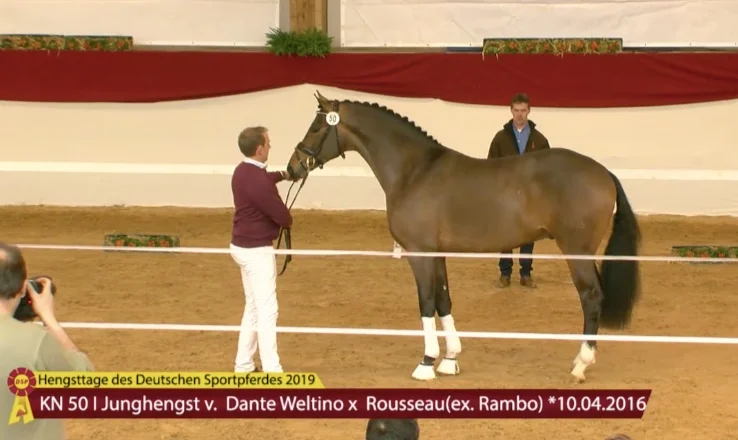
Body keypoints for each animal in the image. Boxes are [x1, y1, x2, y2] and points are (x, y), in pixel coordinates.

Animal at [285, 91, 642, 383]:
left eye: (316, 128)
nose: (293, 167)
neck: (414, 171)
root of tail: (603, 172)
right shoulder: (437, 254)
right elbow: (444, 300)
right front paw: (449, 359)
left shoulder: (419, 254)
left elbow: (426, 302)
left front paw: (426, 362)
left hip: (576, 252)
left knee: (591, 296)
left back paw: (581, 364)